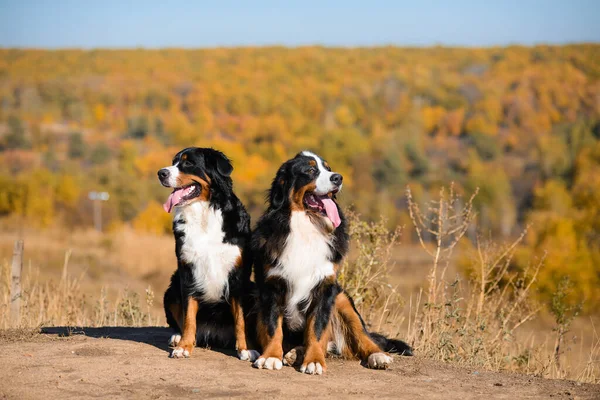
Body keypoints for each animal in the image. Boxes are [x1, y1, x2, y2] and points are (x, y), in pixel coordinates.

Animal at [158, 147, 258, 362]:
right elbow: (188, 315)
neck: (203, 214)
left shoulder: (238, 276)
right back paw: (177, 337)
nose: (161, 173)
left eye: (188, 163)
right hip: (171, 288)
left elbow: (240, 319)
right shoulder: (187, 271)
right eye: (173, 161)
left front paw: (245, 348)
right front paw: (184, 346)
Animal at [250, 150, 412, 376]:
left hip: (343, 301)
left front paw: (313, 361)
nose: (338, 178)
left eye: (328, 168)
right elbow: (273, 326)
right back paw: (292, 353)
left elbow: (316, 330)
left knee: (363, 338)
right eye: (310, 170)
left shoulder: (325, 287)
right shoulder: (271, 286)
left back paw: (378, 356)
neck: (306, 227)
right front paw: (271, 357)